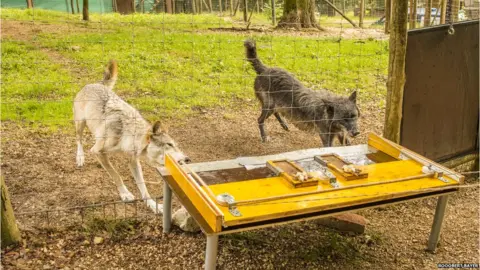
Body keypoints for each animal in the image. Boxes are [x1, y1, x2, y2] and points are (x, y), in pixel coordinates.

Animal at [73, 60, 189, 213]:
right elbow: (116, 175)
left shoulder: (133, 160)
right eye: (169, 144)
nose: (187, 159)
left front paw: (153, 205)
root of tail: (96, 84)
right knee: (78, 139)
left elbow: (143, 186)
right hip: (80, 124)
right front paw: (125, 194)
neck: (127, 134)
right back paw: (80, 157)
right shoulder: (98, 151)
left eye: (176, 145)